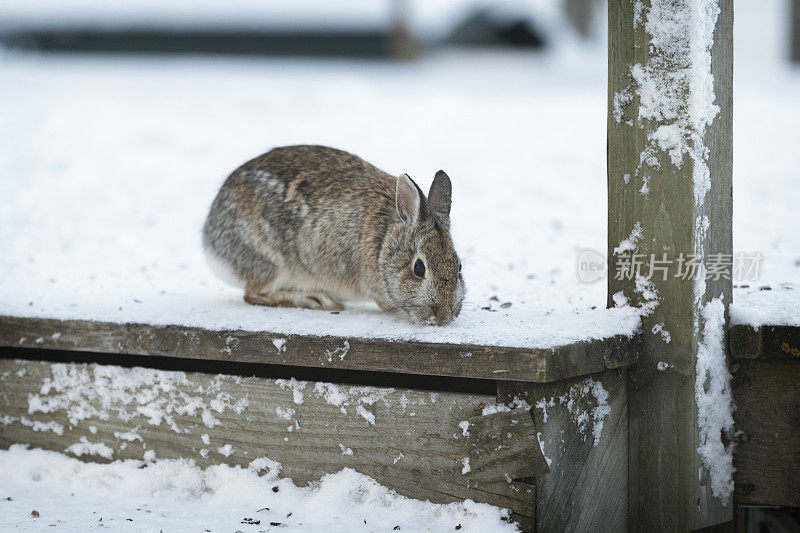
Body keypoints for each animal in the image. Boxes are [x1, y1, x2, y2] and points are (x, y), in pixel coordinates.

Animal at [203, 147, 466, 328]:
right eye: (419, 268)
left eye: (459, 266)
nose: (443, 316)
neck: (384, 242)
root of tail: (210, 242)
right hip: (270, 261)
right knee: (253, 293)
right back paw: (315, 299)